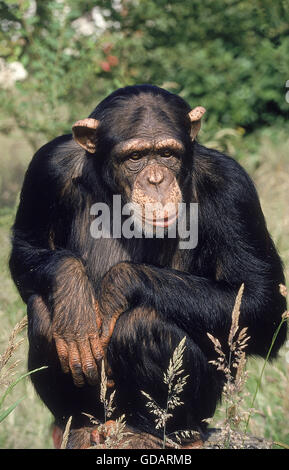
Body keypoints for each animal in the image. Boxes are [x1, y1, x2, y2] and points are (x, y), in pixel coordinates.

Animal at [9, 84, 286, 448]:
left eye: (167, 154)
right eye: (135, 157)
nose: (156, 180)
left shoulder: (231, 186)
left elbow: (261, 300)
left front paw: (118, 285)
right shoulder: (47, 167)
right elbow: (27, 245)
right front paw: (74, 296)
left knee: (142, 325)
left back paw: (157, 434)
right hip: (102, 408)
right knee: (43, 310)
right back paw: (79, 425)